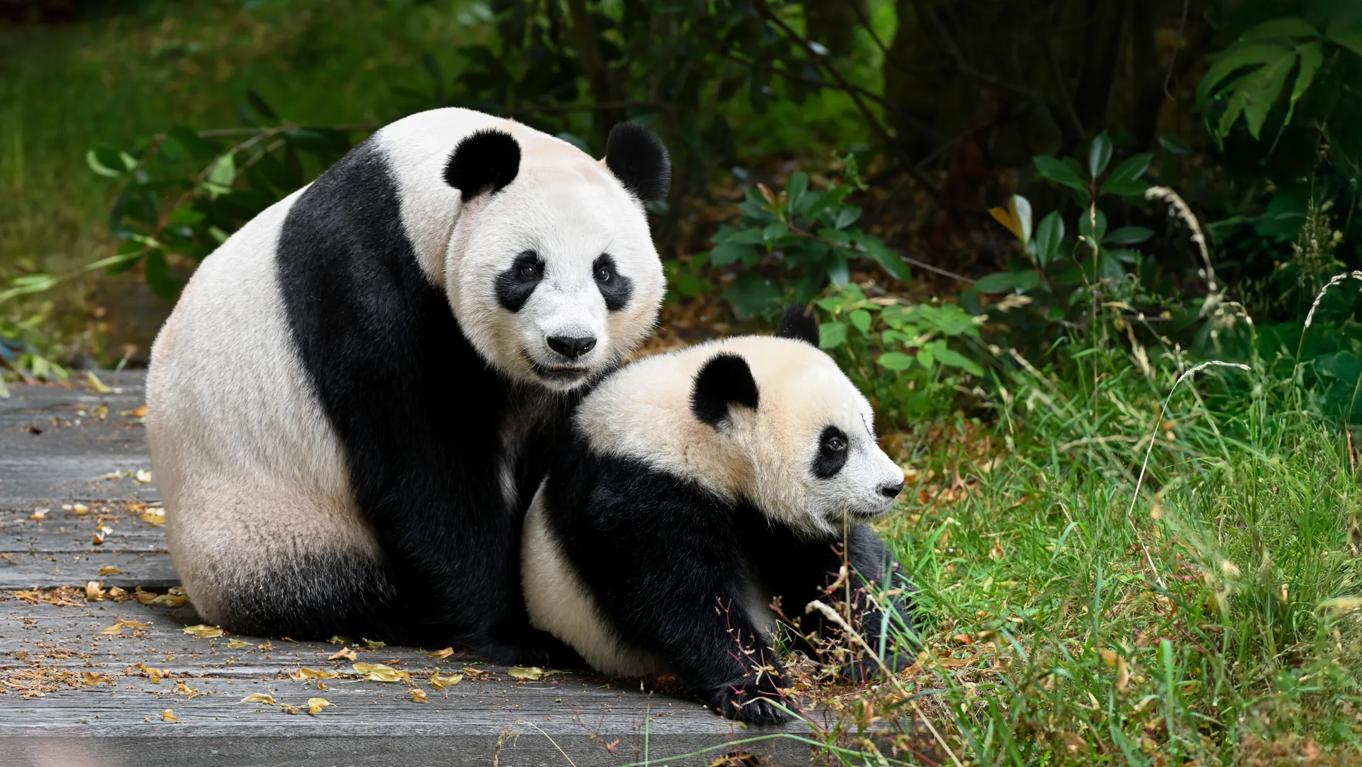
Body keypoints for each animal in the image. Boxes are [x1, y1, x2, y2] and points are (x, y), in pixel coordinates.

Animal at [145, 107, 670, 664]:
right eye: (527, 267)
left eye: (606, 273)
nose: (570, 343)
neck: (413, 196)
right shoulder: (367, 290)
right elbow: (426, 469)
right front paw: (516, 634)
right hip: (270, 532)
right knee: (339, 590)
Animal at [521, 308, 916, 723]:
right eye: (835, 444)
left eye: (868, 428)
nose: (892, 486)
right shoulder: (642, 489)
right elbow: (684, 601)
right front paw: (762, 694)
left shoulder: (784, 522)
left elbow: (837, 571)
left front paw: (874, 651)